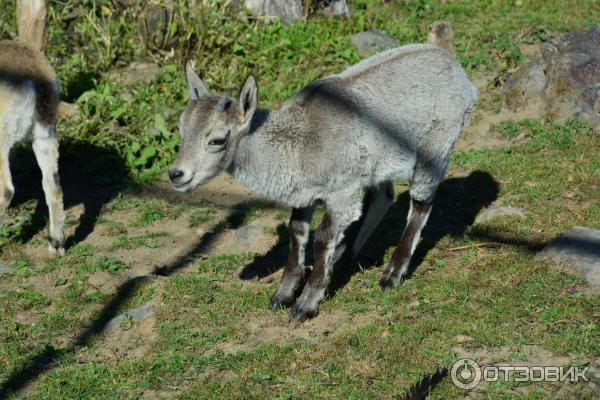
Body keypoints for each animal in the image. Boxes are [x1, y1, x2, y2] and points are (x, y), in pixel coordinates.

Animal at [170, 43, 478, 320]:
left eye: (217, 139)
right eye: (181, 130)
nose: (176, 174)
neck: (299, 143)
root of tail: (458, 71)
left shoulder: (343, 191)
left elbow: (322, 237)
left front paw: (306, 303)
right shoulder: (305, 192)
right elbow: (297, 231)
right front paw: (283, 294)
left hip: (436, 145)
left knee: (421, 203)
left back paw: (391, 273)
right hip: (376, 163)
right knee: (383, 197)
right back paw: (345, 257)